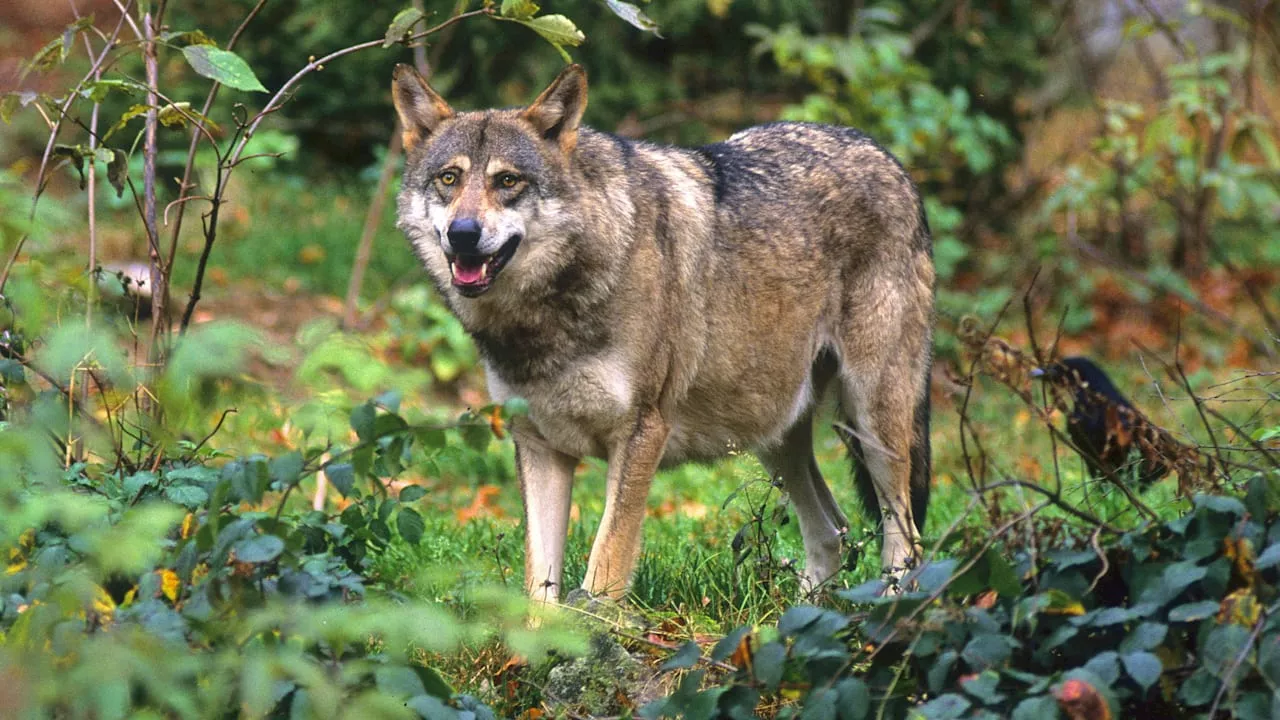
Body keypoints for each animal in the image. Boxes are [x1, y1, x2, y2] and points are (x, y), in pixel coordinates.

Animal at [386, 64, 931, 599]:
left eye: (507, 180)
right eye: (449, 178)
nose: (463, 234)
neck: (545, 319)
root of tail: (890, 159)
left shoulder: (640, 434)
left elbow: (603, 572)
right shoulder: (540, 447)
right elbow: (539, 591)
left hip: (872, 421)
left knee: (905, 540)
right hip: (771, 429)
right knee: (832, 530)